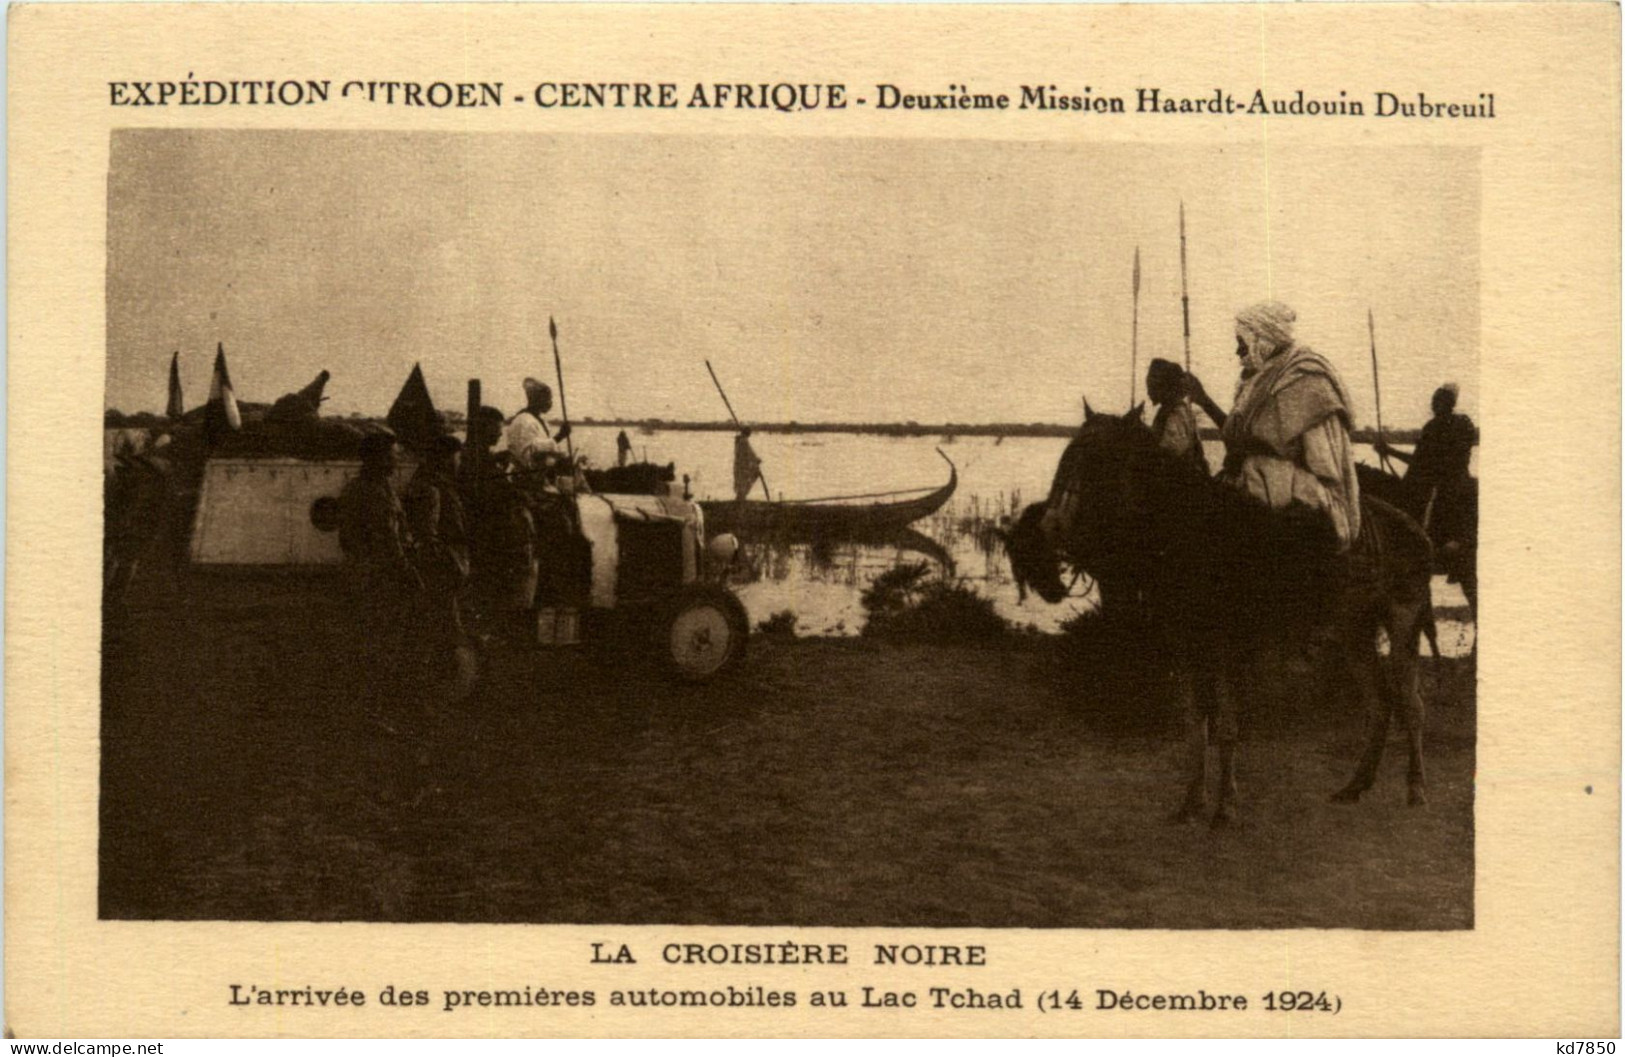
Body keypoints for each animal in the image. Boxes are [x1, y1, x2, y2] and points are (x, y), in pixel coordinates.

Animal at [1001, 403, 1436, 822]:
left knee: (1411, 704)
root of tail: (1416, 530)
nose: (1052, 525)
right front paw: (1191, 803)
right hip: (1353, 630)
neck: (1195, 534)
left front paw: (1226, 806)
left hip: (1403, 622)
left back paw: (1416, 789)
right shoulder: (1188, 647)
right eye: (1068, 455)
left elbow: (1226, 726)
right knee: (1380, 704)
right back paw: (1355, 786)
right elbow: (1196, 726)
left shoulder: (1229, 647)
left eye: (1096, 459)